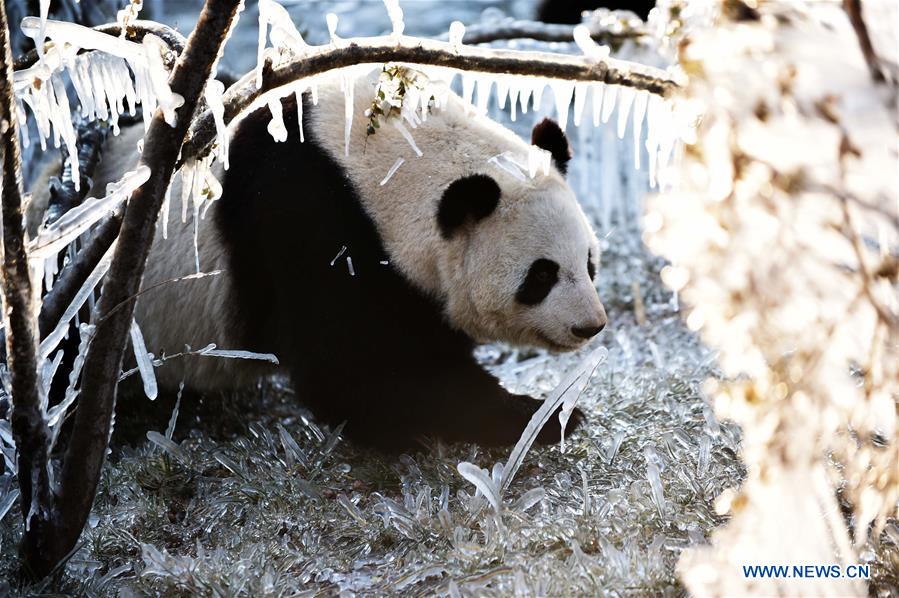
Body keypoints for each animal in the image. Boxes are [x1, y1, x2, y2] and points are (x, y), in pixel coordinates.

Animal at [76, 69, 608, 451]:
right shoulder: (312, 224)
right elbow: (356, 367)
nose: (590, 326)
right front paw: (535, 418)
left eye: (588, 262)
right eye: (541, 275)